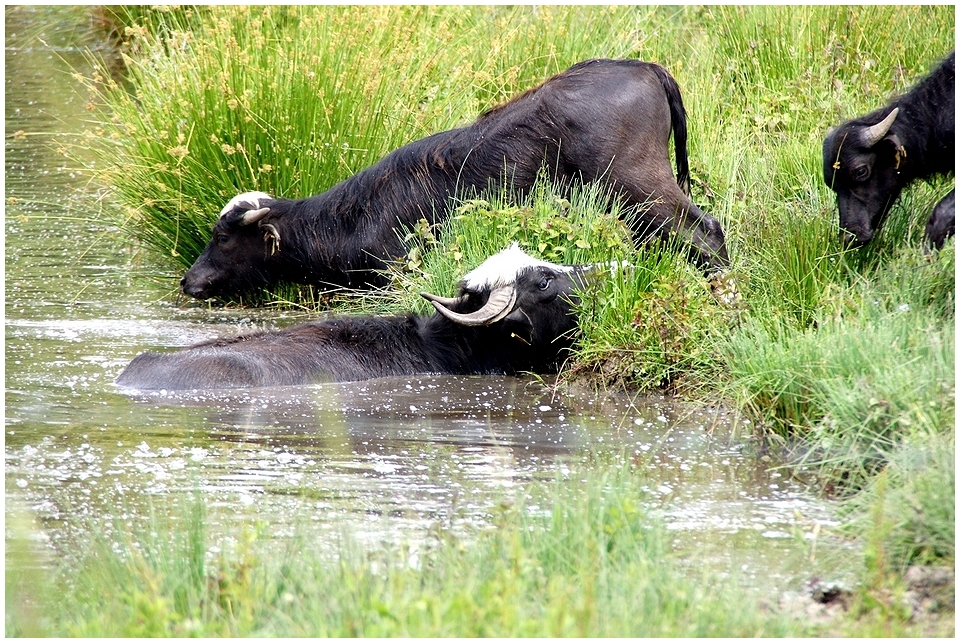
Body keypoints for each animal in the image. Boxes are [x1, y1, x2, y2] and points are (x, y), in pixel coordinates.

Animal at [182, 57, 728, 300]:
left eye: (223, 238)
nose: (189, 280)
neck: (354, 215)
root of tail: (643, 66)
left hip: (641, 184)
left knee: (706, 231)